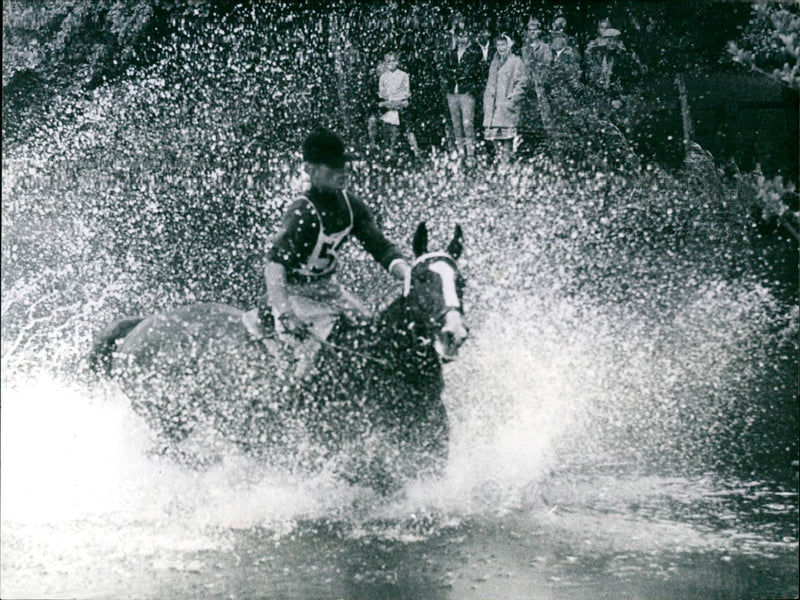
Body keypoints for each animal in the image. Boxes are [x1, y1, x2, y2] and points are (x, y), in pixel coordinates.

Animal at [88, 223, 466, 490]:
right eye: (421, 279)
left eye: (459, 281)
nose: (453, 334)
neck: (377, 357)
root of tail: (142, 325)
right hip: (168, 417)